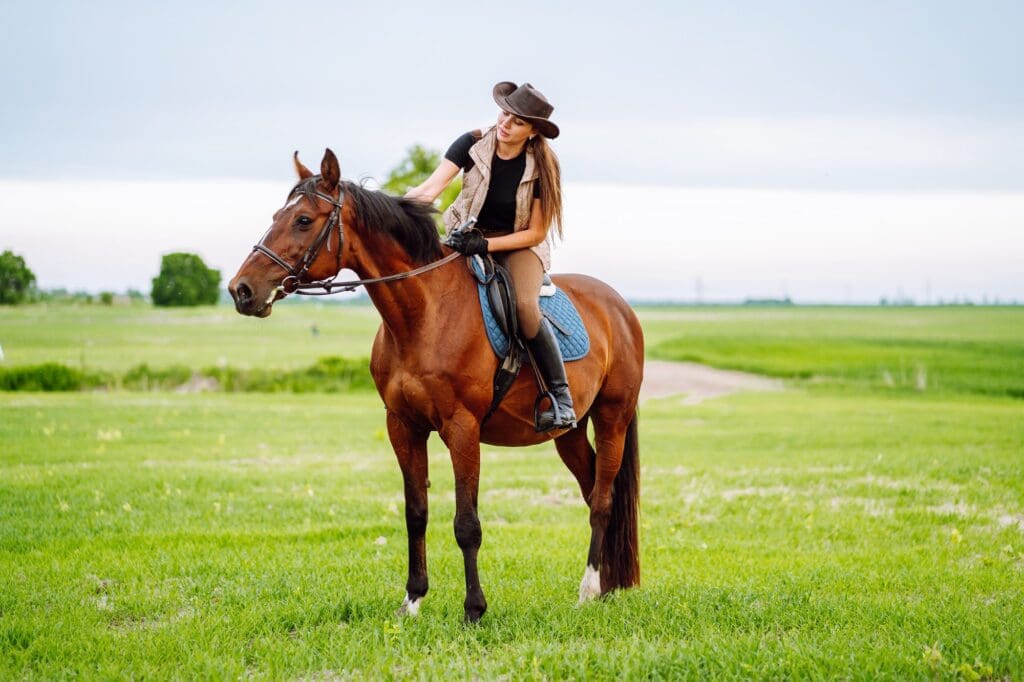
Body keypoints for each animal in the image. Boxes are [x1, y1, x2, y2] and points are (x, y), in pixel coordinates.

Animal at [229, 150, 643, 622]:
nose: (241, 290)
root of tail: (620, 308)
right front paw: (412, 601)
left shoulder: (462, 429)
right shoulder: (403, 426)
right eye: (277, 216)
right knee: (592, 490)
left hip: (612, 419)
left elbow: (467, 523)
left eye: (302, 220)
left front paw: (474, 610)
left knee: (603, 501)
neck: (424, 314)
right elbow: (416, 513)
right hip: (568, 434)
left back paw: (589, 589)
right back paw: (606, 586)